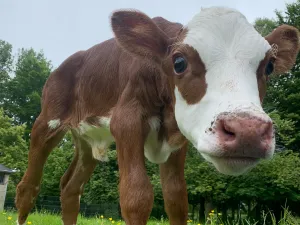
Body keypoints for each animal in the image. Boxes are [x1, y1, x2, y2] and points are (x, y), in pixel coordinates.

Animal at [15, 6, 298, 224]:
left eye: (269, 66)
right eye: (179, 61)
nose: (248, 131)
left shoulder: (177, 137)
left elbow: (176, 199)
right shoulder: (126, 120)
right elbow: (136, 197)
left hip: (88, 140)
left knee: (70, 188)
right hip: (46, 121)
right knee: (27, 187)